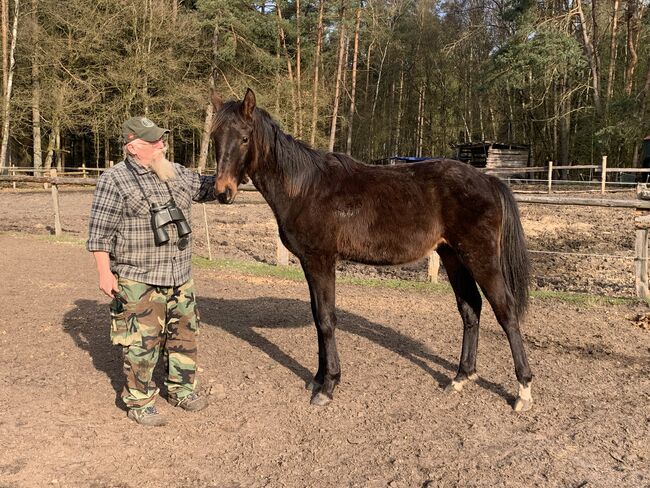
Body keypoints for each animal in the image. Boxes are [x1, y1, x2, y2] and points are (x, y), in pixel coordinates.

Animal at [211, 88, 532, 412]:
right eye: (214, 137)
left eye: (244, 138)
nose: (222, 192)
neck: (305, 188)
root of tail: (488, 179)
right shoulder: (310, 263)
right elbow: (317, 317)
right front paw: (318, 378)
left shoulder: (321, 260)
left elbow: (326, 319)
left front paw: (328, 386)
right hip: (453, 256)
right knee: (470, 309)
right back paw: (461, 377)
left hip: (480, 258)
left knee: (506, 312)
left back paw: (523, 390)